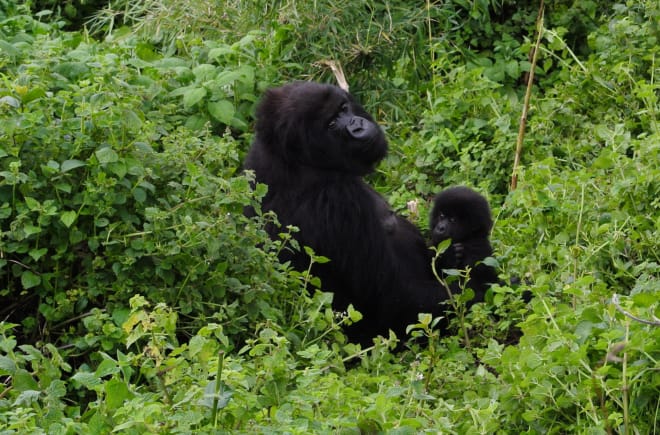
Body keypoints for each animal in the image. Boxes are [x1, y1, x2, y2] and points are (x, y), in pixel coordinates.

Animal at [245, 82, 446, 346]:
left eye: (343, 109)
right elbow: (394, 297)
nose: (356, 126)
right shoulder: (339, 201)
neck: (297, 159)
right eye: (331, 124)